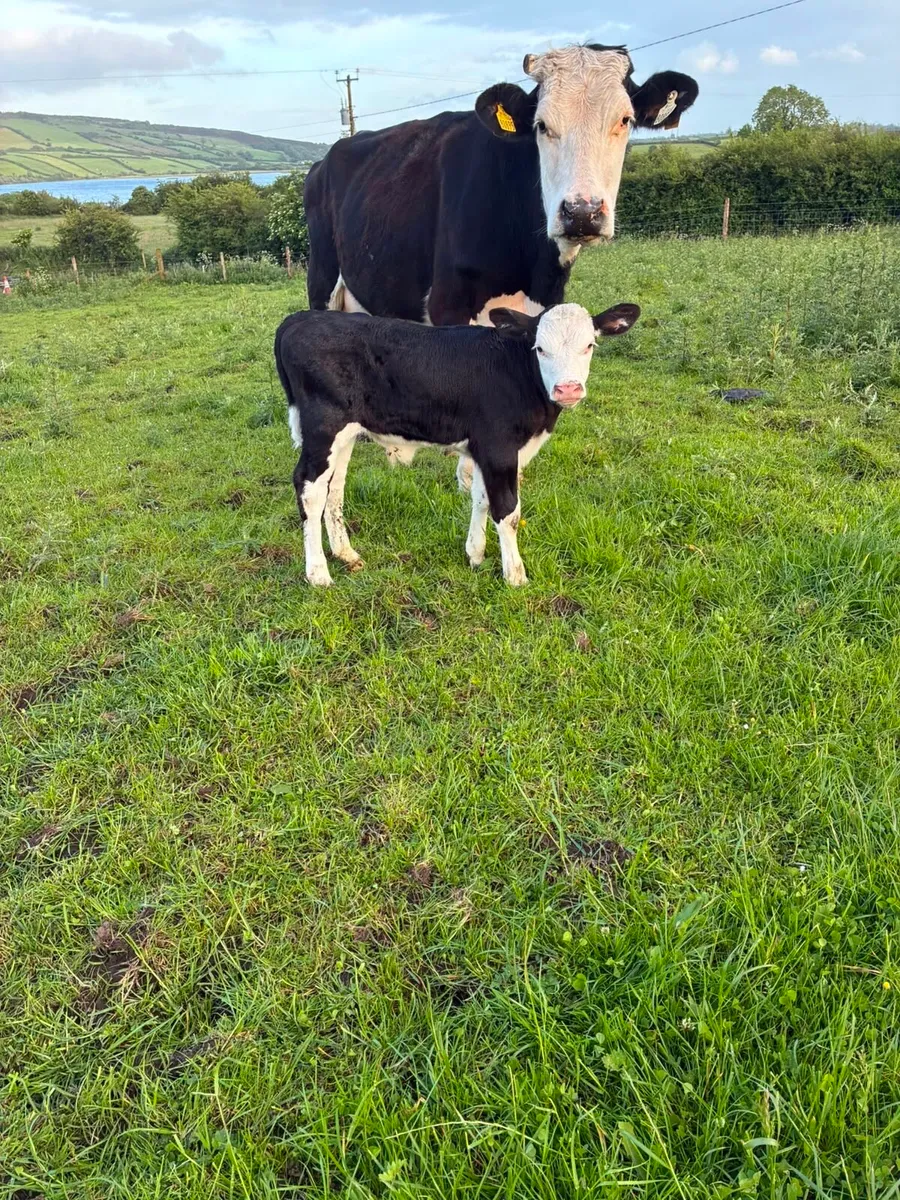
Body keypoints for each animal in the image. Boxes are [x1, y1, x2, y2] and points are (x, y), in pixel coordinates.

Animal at [274, 300, 640, 587]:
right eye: (539, 348)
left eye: (589, 345)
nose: (568, 389)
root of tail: (301, 318)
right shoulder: (499, 447)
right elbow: (507, 510)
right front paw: (515, 575)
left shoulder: (483, 450)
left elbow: (480, 498)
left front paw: (475, 554)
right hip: (323, 428)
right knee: (309, 489)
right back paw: (318, 573)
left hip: (345, 434)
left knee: (333, 489)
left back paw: (346, 554)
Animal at [304, 44, 697, 328]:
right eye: (541, 124)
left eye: (625, 119)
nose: (581, 212)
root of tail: (326, 159)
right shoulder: (448, 307)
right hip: (321, 283)